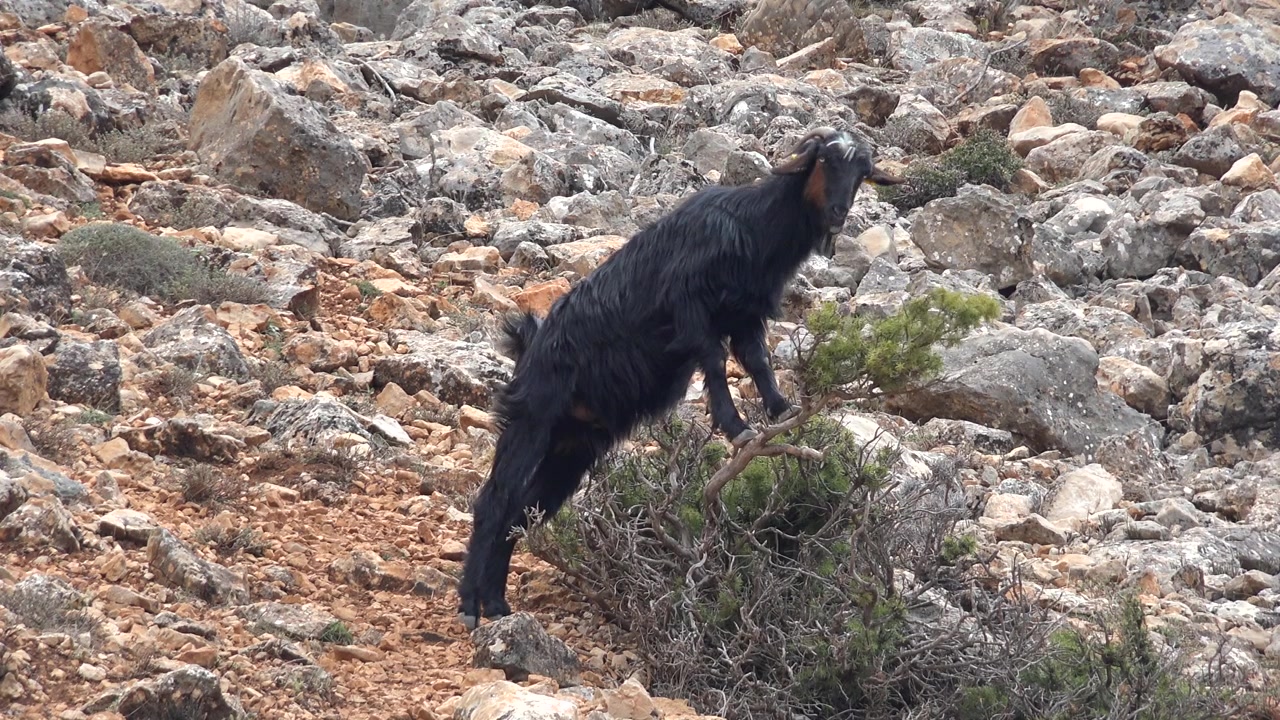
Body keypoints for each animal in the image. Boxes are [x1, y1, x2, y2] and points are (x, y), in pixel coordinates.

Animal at [457, 126, 903, 629]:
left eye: (864, 172)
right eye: (825, 159)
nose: (838, 213)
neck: (753, 228)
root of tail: (529, 345)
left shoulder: (746, 314)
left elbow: (757, 361)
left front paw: (780, 410)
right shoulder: (690, 304)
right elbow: (714, 360)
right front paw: (736, 426)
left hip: (574, 446)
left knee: (524, 512)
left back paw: (497, 604)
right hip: (534, 419)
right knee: (494, 502)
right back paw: (471, 606)